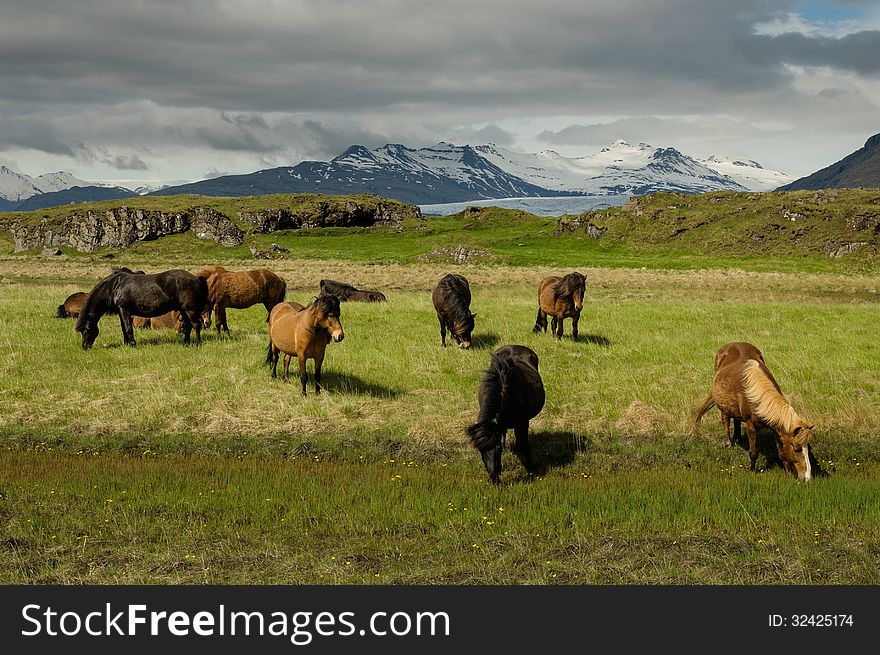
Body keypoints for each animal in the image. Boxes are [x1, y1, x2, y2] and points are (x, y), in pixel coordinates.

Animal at [74, 266, 208, 348]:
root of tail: (196, 278)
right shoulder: (121, 311)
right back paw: (186, 343)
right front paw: (126, 343)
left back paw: (197, 343)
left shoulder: (125, 309)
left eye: (86, 329)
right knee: (188, 325)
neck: (114, 287)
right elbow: (124, 328)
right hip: (183, 310)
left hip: (189, 309)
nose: (85, 346)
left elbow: (128, 328)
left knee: (196, 325)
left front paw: (133, 343)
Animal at [468, 346, 544, 484]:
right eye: (481, 451)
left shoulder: (523, 423)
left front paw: (531, 468)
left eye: (498, 450)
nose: (493, 480)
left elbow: (524, 445)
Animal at [692, 344, 816, 482]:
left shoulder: (777, 430)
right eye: (797, 448)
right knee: (725, 420)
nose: (807, 477)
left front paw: (788, 473)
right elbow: (753, 452)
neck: (758, 398)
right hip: (723, 405)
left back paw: (737, 438)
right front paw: (751, 470)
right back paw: (729, 443)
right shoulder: (750, 425)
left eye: (807, 448)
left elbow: (781, 452)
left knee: (735, 420)